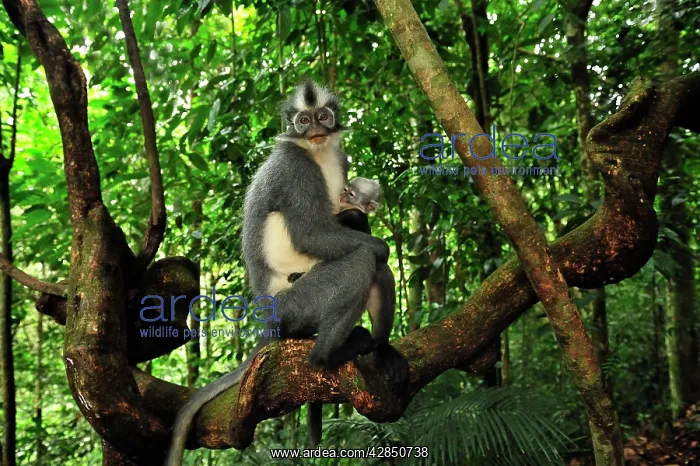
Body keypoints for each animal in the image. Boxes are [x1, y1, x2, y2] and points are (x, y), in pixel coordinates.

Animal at [165, 81, 408, 466]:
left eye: (323, 116)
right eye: (303, 120)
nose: (316, 129)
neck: (316, 153)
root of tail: (268, 321)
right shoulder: (293, 169)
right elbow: (311, 234)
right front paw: (380, 244)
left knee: (378, 273)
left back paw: (380, 350)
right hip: (295, 306)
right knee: (361, 261)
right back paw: (326, 356)